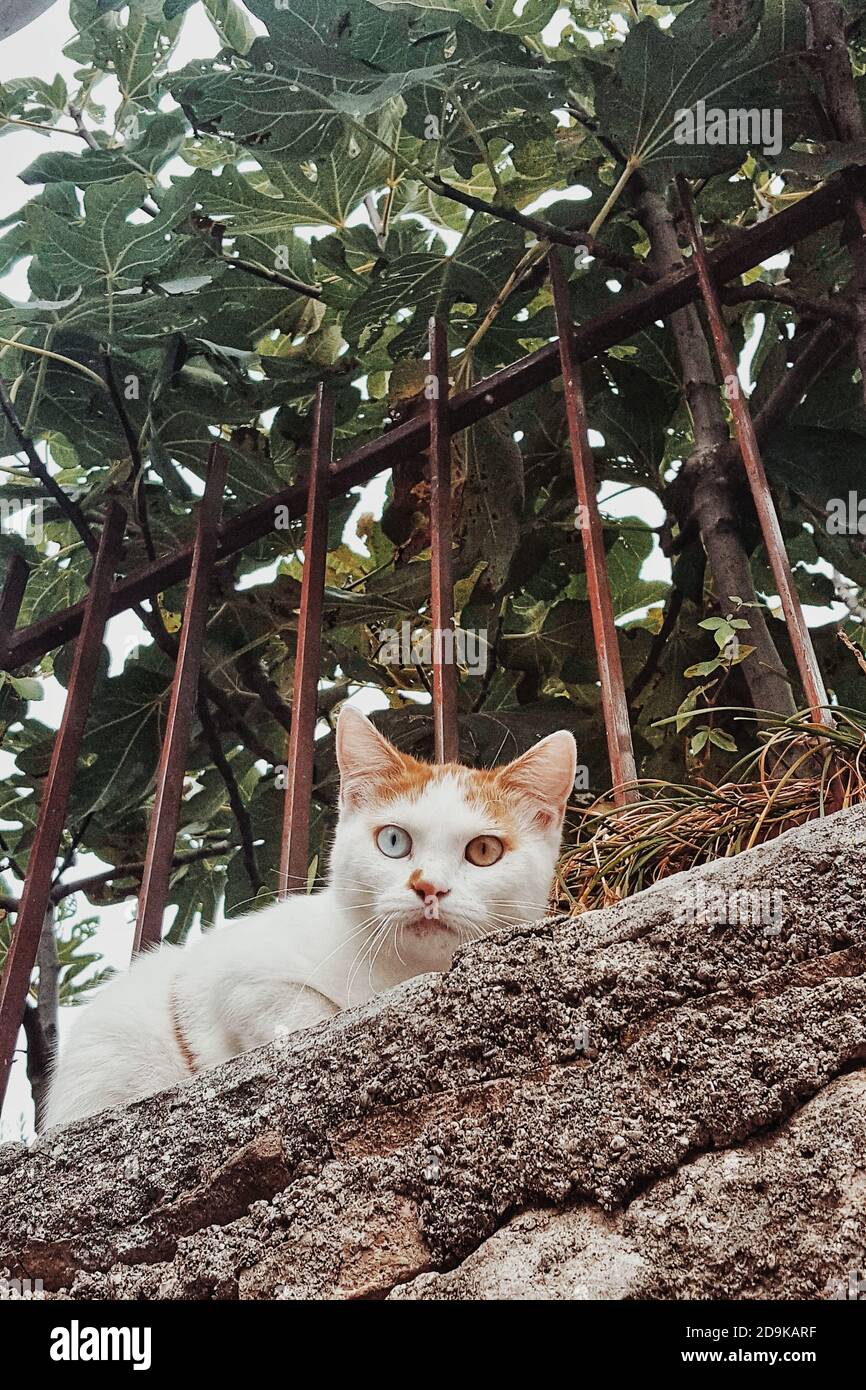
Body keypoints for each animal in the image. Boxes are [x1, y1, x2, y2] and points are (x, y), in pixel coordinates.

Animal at [45, 706, 575, 1128]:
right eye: (394, 841)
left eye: (484, 851)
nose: (429, 887)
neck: (402, 973)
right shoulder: (222, 973)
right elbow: (292, 1009)